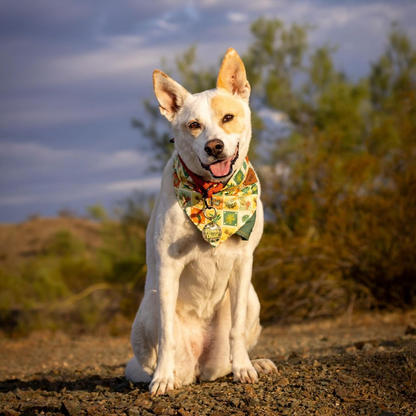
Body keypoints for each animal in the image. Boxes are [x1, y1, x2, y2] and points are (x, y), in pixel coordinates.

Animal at [125, 47, 278, 394]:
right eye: (194, 125)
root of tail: (199, 366)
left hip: (252, 299)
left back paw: (255, 363)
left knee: (231, 352)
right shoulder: (168, 267)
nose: (214, 146)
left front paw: (245, 369)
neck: (212, 196)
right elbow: (166, 335)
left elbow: (236, 329)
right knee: (154, 355)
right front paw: (162, 380)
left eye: (228, 118)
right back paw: (162, 375)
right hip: (150, 305)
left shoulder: (243, 263)